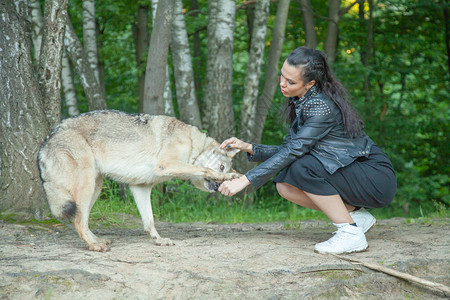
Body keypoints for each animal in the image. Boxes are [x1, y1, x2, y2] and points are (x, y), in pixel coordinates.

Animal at [37, 109, 243, 251]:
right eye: (222, 167)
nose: (217, 188)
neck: (193, 144)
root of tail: (45, 142)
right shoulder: (166, 164)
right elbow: (205, 168)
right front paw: (230, 176)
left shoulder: (140, 187)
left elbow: (149, 221)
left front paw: (159, 240)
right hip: (87, 186)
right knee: (78, 221)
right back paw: (96, 246)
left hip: (95, 187)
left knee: (82, 221)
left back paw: (97, 241)